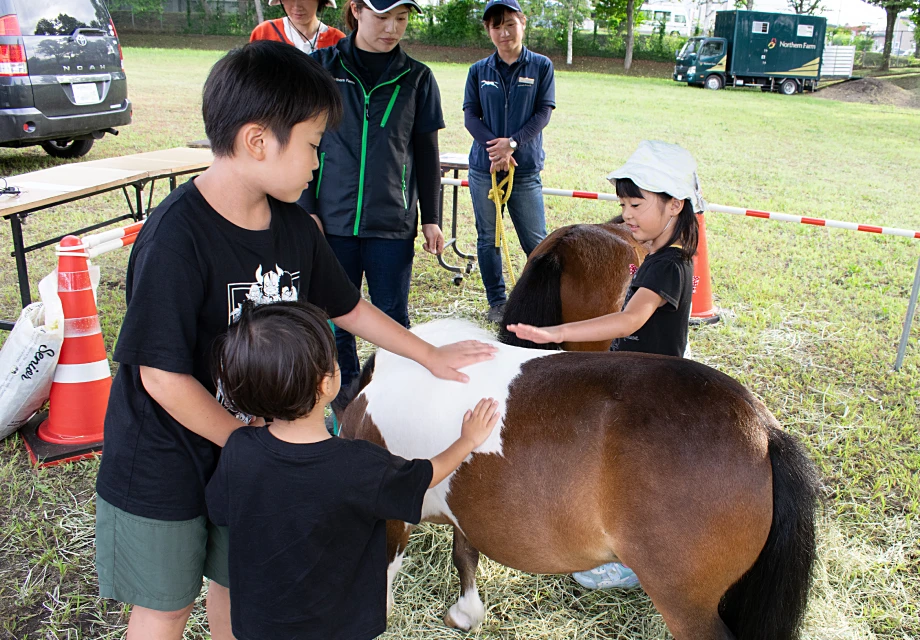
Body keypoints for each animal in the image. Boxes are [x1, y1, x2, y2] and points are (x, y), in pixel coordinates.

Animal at [336, 319, 819, 640]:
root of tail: (763, 431)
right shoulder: (465, 509)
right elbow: (464, 555)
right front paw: (466, 613)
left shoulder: (392, 518)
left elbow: (387, 572)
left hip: (687, 606)